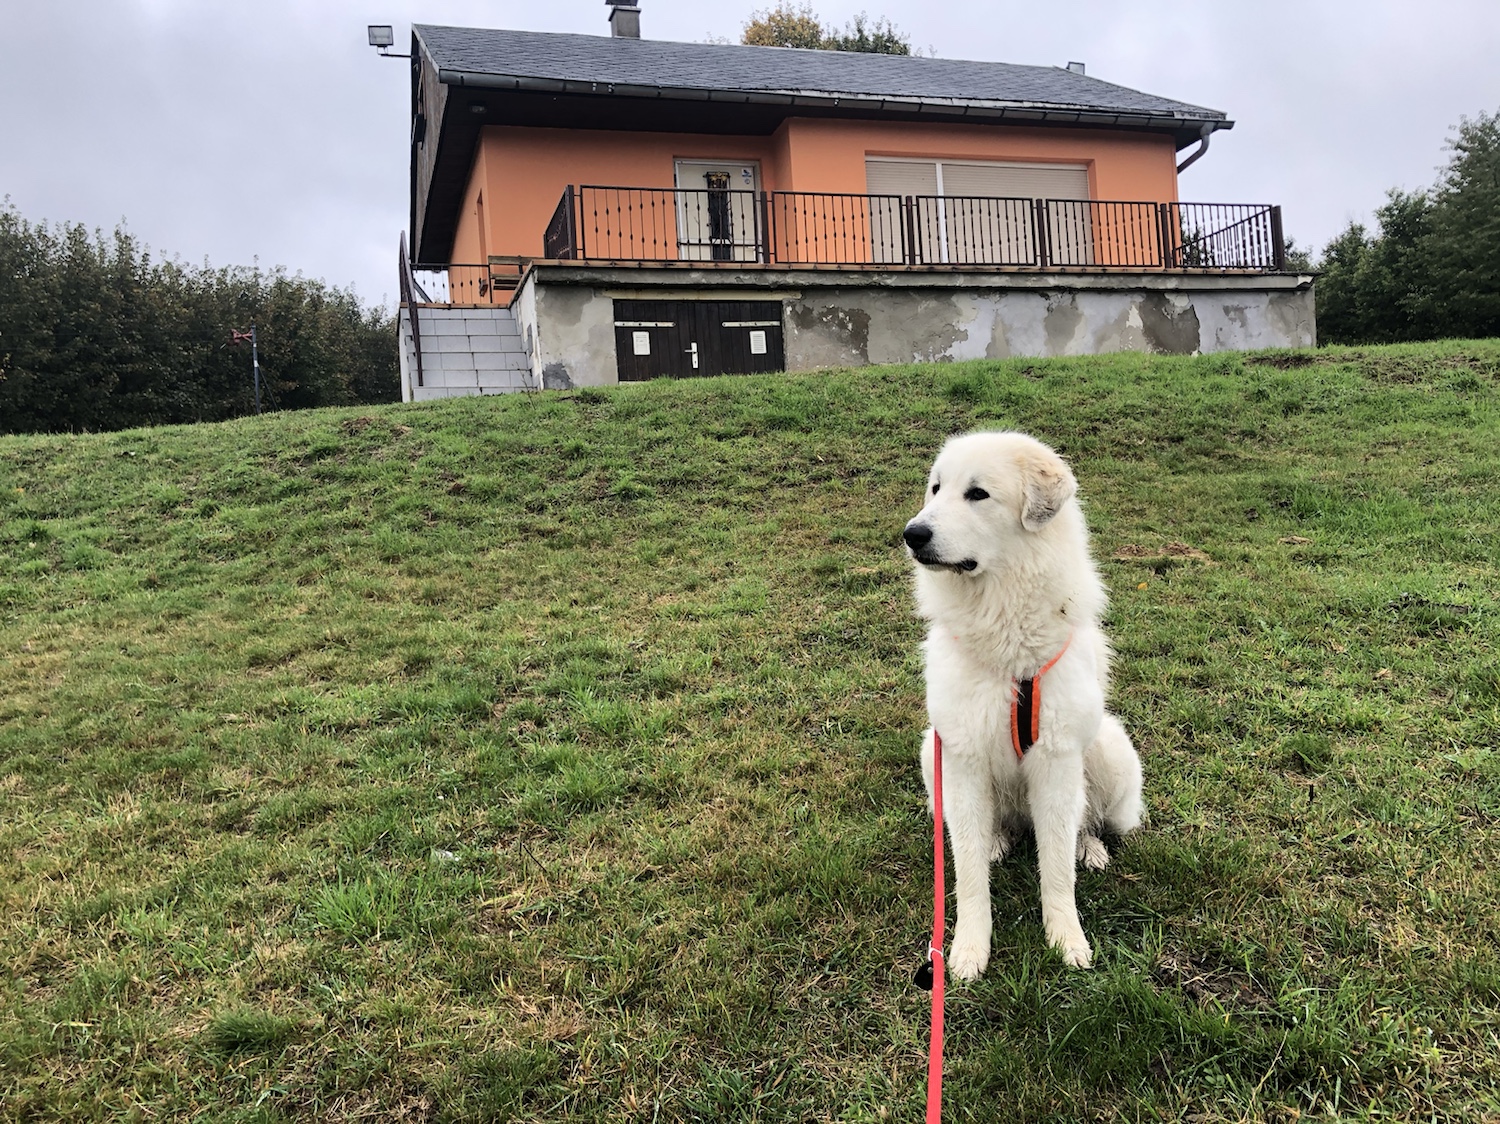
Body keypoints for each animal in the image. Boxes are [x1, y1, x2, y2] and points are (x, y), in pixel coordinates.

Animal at [904, 431, 1143, 976]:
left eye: (977, 494)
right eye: (936, 488)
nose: (912, 534)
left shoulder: (1055, 760)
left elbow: (1055, 868)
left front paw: (1066, 939)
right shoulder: (963, 757)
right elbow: (968, 874)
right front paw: (969, 951)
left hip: (1110, 748)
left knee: (1086, 822)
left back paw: (1090, 848)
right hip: (933, 753)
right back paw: (998, 839)